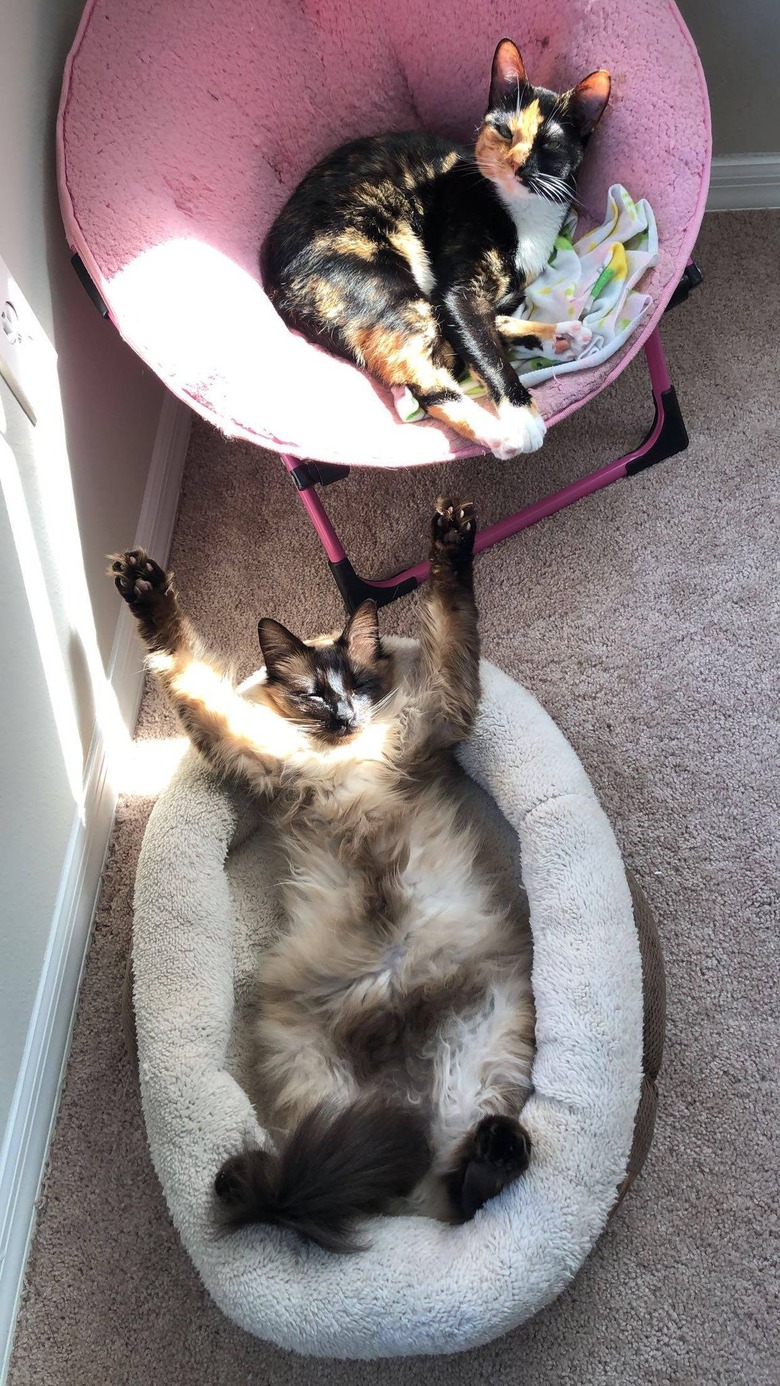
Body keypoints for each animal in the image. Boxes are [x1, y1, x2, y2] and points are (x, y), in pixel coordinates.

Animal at [111, 501, 537, 1258]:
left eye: (358, 687)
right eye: (313, 696)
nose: (342, 718)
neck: (347, 758)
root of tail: (408, 1101)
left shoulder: (441, 709)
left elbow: (451, 613)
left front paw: (453, 538)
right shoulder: (245, 743)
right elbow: (182, 663)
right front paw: (141, 585)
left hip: (489, 1037)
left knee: (461, 1192)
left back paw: (492, 1153)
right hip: (326, 1082)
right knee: (427, 1195)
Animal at [261, 35, 609, 460]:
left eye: (548, 144)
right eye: (504, 131)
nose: (517, 165)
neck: (523, 216)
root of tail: (275, 286)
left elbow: (480, 331)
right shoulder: (458, 291)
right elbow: (483, 348)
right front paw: (522, 415)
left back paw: (559, 335)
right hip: (386, 283)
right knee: (426, 382)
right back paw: (502, 433)